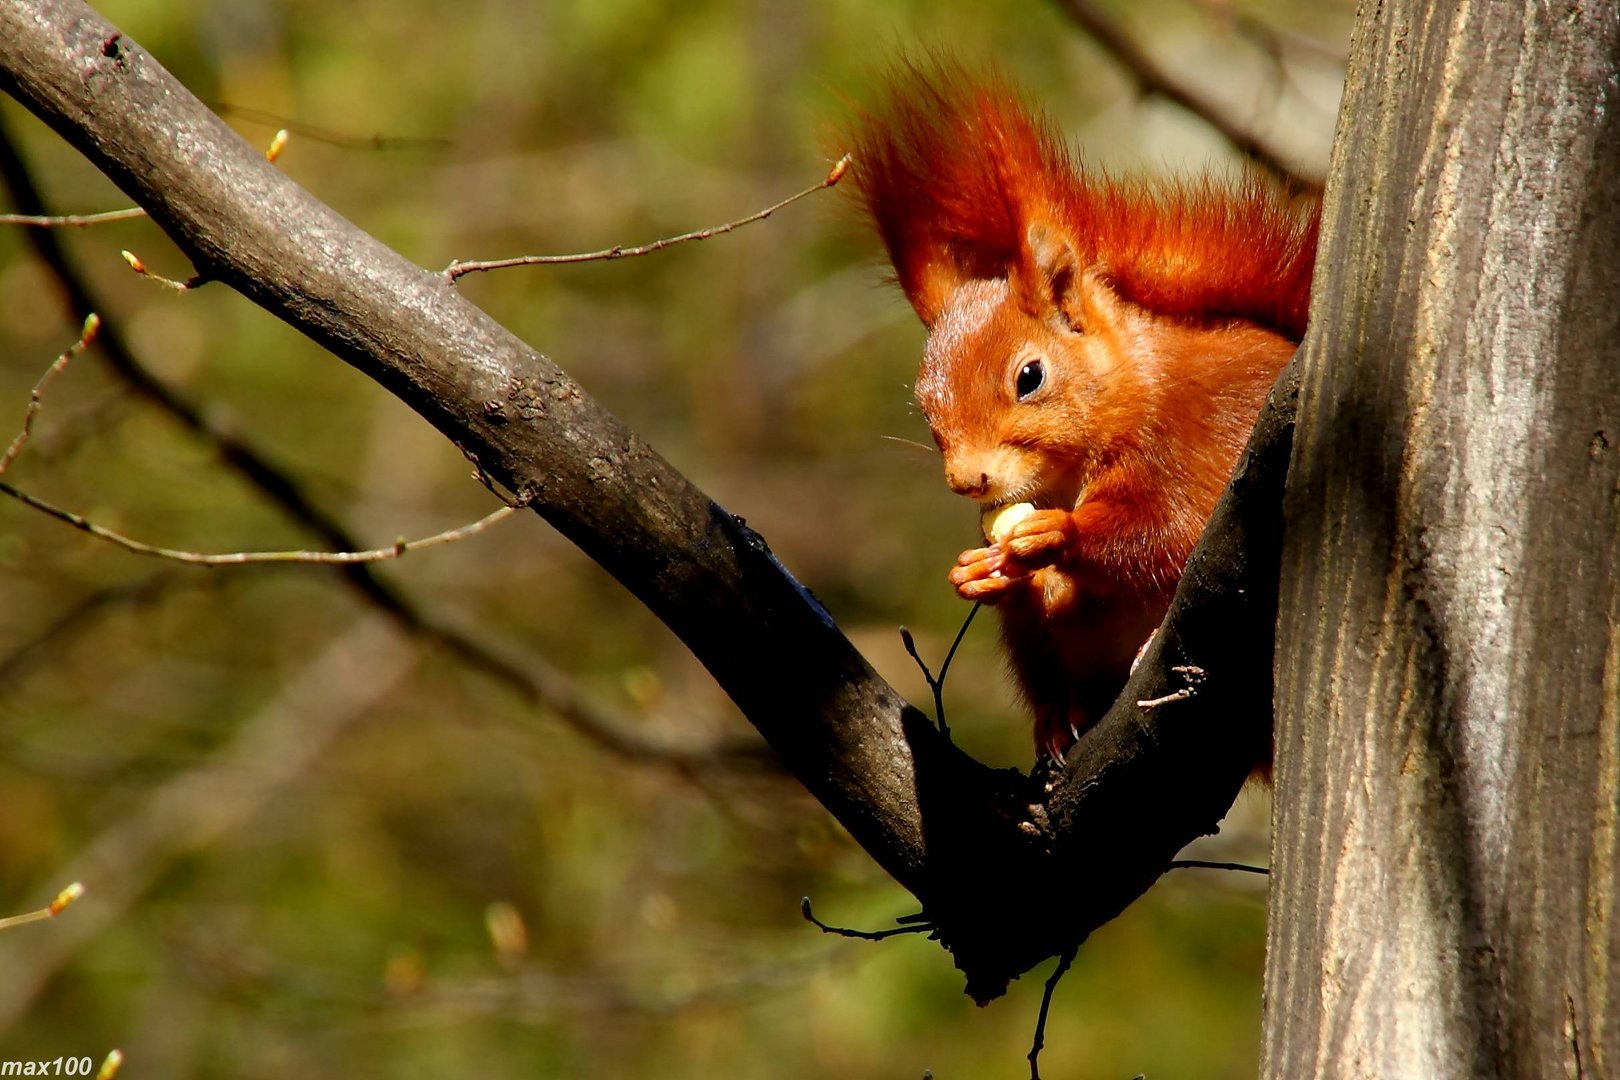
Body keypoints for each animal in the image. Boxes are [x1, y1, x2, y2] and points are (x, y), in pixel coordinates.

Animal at [848, 67, 1315, 764]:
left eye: (1029, 377)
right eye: (926, 406)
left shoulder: (1192, 445)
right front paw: (981, 571)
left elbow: (1165, 533)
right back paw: (1058, 716)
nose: (967, 481)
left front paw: (1058, 535)